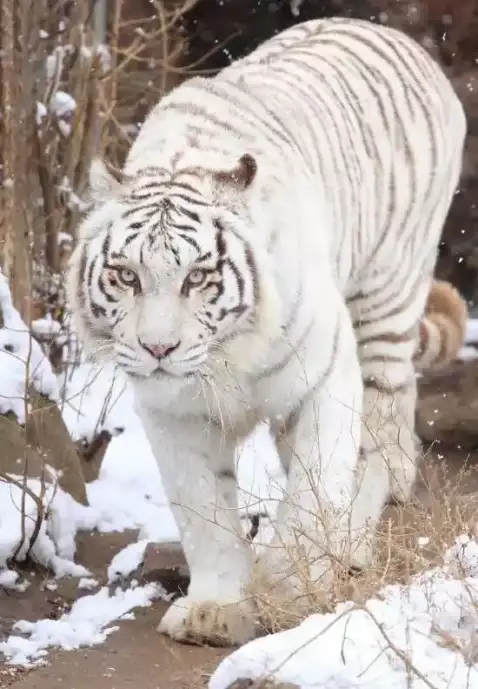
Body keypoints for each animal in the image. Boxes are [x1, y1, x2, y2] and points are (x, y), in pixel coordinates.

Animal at [67, 17, 467, 647]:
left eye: (199, 277)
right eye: (126, 275)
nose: (158, 348)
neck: (223, 361)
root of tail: (391, 34)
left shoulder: (324, 379)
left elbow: (312, 492)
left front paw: (290, 585)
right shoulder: (172, 412)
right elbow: (202, 510)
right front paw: (214, 610)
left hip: (384, 301)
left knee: (378, 436)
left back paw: (353, 539)